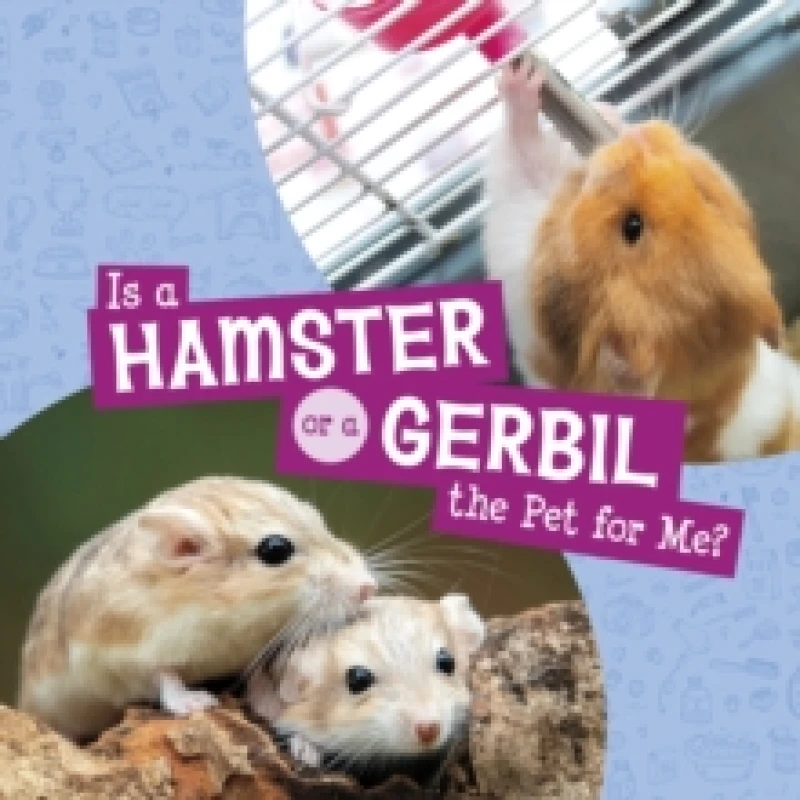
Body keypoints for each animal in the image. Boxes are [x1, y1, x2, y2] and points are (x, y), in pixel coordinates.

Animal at [18, 476, 377, 741]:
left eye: (319, 520)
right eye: (275, 550)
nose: (368, 588)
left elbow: (256, 675)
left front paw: (273, 705)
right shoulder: (126, 653)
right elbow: (164, 676)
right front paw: (196, 703)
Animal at [486, 58, 800, 462]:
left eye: (631, 226)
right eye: (703, 191)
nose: (641, 138)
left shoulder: (524, 267)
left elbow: (522, 163)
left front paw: (521, 78)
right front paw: (606, 112)